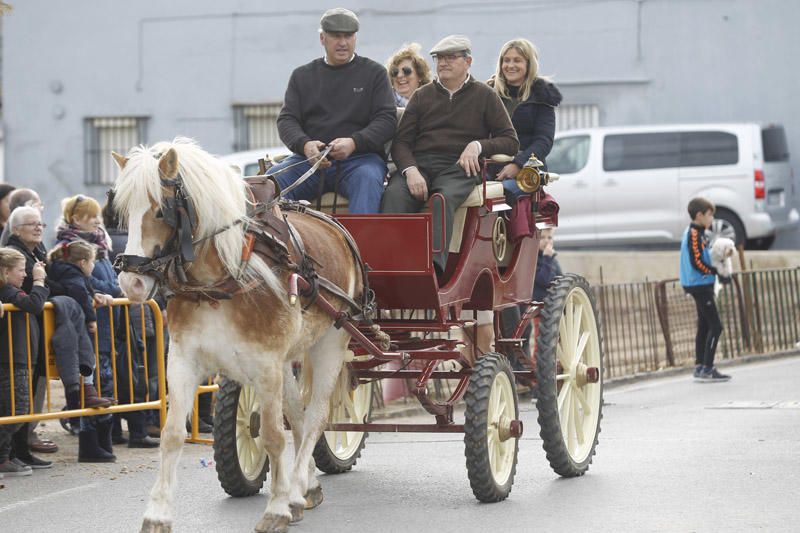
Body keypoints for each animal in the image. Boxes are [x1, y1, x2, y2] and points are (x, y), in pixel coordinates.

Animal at [110, 138, 366, 532]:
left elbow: (273, 436)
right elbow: (172, 435)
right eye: (123, 213)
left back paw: (294, 491)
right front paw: (157, 514)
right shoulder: (183, 360)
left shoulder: (266, 364)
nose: (131, 283)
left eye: (161, 212)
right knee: (297, 414)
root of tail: (333, 223)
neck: (223, 278)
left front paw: (276, 508)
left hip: (331, 343)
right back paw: (304, 487)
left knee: (315, 418)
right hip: (288, 358)